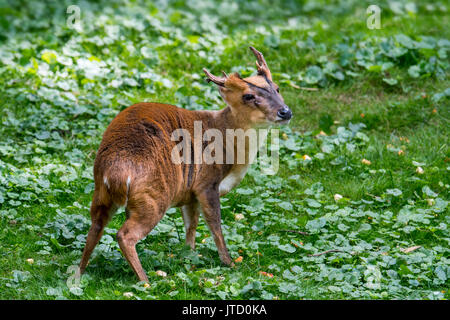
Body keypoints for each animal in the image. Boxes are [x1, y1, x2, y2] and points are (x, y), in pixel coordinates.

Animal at [78, 46, 292, 282]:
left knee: (95, 227)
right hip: (153, 197)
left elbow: (191, 225)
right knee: (124, 235)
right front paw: (229, 263)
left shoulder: (189, 192)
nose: (285, 112)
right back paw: (146, 281)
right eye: (248, 96)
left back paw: (79, 274)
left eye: (277, 88)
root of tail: (114, 174)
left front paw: (189, 256)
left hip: (101, 194)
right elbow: (215, 224)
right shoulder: (206, 182)